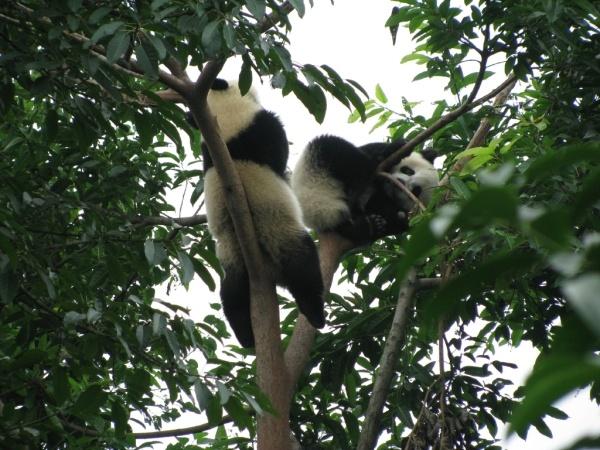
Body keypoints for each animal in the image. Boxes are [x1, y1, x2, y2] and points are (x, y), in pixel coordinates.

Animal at [191, 79, 324, 348]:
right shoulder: (261, 125)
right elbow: (278, 151)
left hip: (231, 249)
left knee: (232, 291)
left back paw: (246, 336)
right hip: (275, 223)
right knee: (302, 263)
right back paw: (316, 313)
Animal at [290, 134, 436, 243]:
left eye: (415, 191)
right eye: (408, 171)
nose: (399, 182)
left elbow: (393, 216)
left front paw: (394, 215)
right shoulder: (372, 148)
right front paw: (393, 149)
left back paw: (369, 225)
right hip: (313, 174)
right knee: (338, 148)